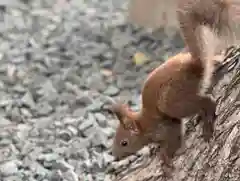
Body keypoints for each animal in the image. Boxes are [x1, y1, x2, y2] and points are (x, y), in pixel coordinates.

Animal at [108, 0, 240, 168]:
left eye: (124, 142)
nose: (114, 157)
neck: (144, 124)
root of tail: (194, 67)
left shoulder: (164, 127)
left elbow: (174, 139)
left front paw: (164, 157)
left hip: (173, 100)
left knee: (206, 101)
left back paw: (207, 124)